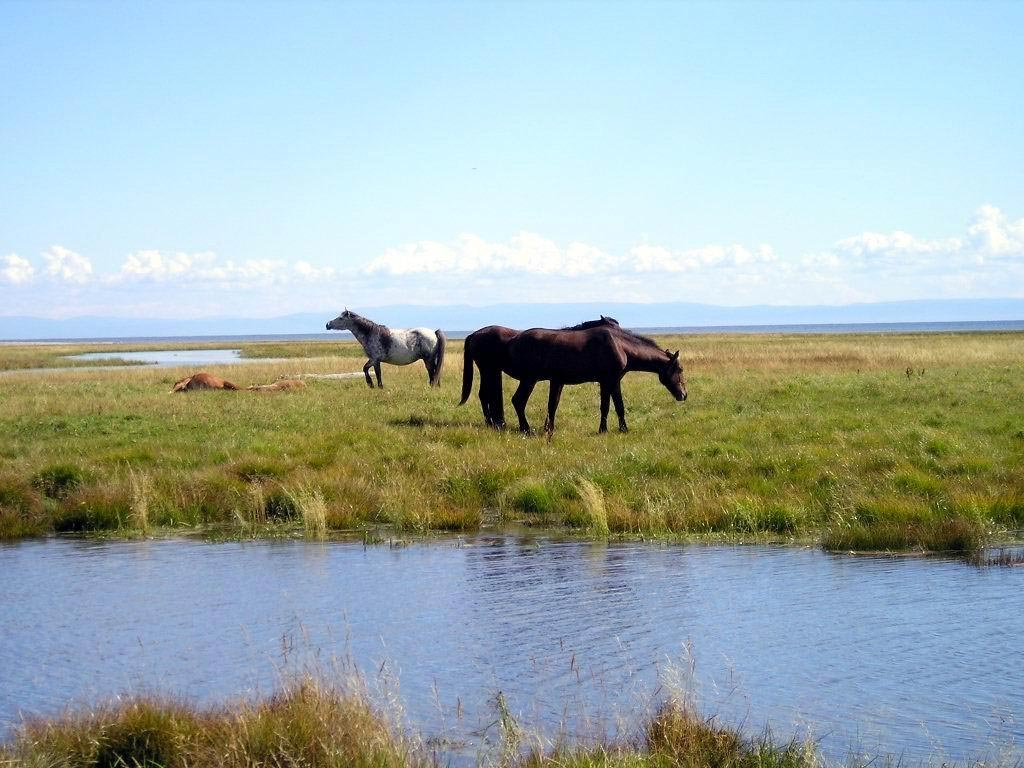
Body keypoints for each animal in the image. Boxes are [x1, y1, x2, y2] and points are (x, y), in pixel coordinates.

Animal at [460, 315, 618, 430]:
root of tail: (474, 334)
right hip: (492, 371)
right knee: (496, 397)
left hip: (488, 372)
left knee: (484, 395)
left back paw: (491, 423)